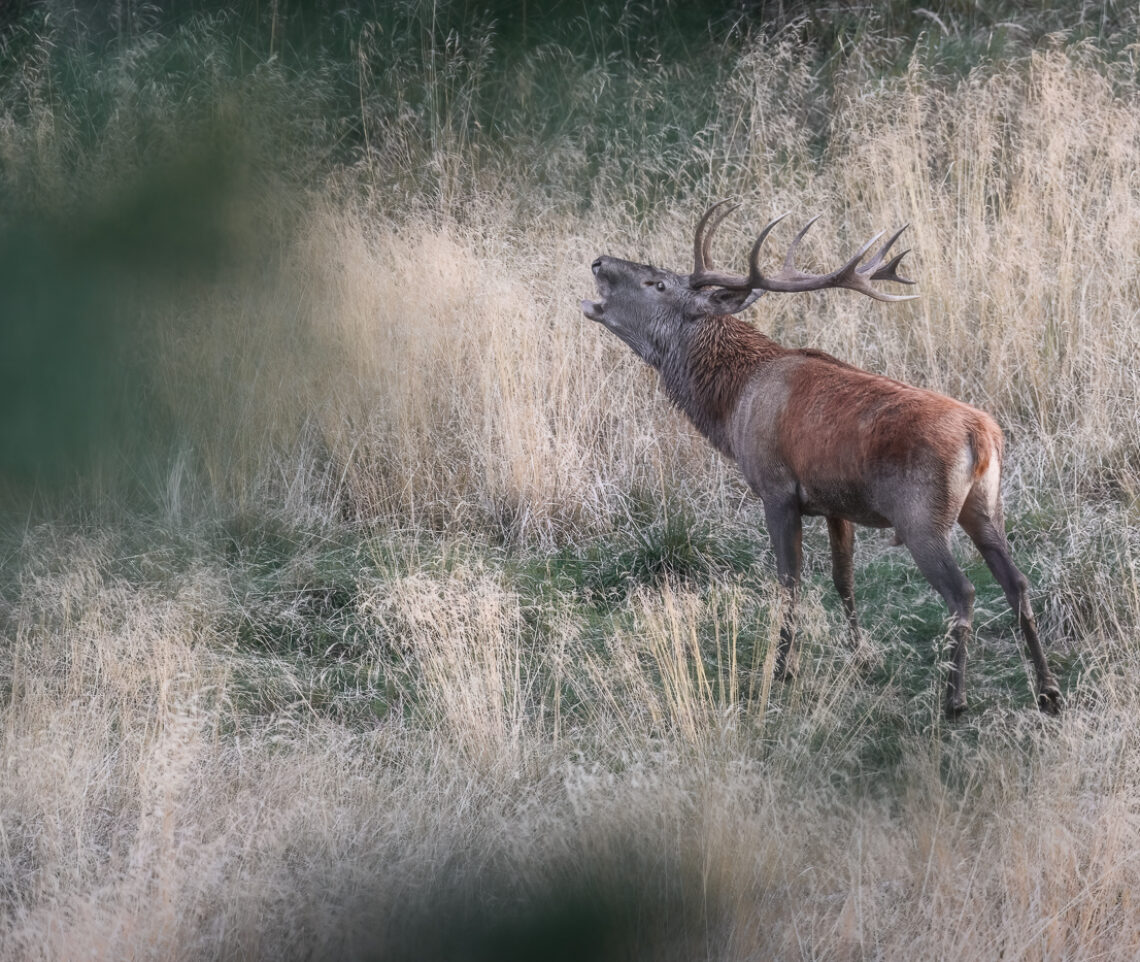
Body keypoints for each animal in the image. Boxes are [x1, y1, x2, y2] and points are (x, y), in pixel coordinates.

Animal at [583, 200, 1062, 715]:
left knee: (964, 591)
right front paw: (861, 656)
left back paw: (954, 699)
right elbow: (843, 579)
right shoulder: (837, 503)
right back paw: (1048, 690)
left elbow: (789, 581)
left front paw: (781, 669)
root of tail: (982, 435)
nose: (599, 262)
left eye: (657, 283)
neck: (731, 407)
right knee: (1017, 582)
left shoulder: (776, 489)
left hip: (921, 514)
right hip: (986, 506)